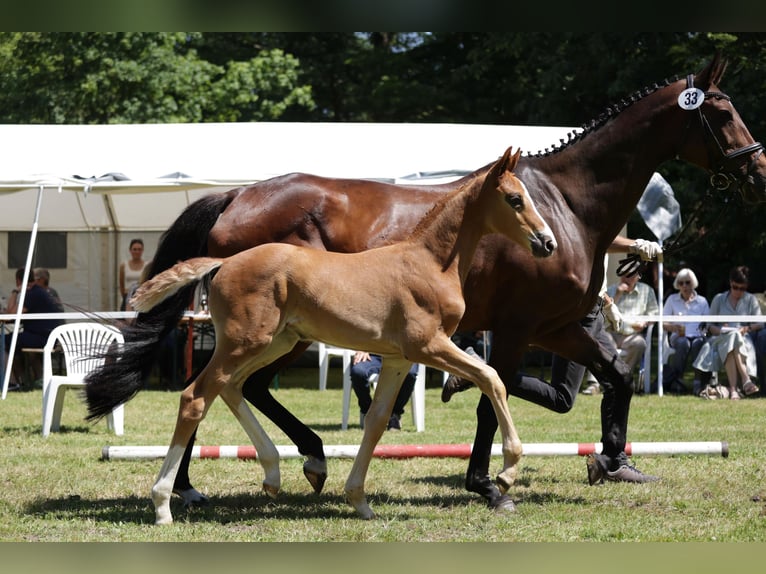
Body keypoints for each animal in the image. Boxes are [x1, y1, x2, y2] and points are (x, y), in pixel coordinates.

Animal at [127, 148, 560, 528]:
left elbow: (377, 420)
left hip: (275, 342)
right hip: (244, 342)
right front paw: (506, 473)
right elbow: (492, 378)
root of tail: (224, 262)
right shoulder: (429, 345)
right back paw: (164, 504)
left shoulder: (400, 358)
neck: (431, 263)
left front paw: (360, 502)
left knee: (232, 387)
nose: (548, 243)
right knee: (196, 396)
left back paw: (275, 474)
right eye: (515, 199)